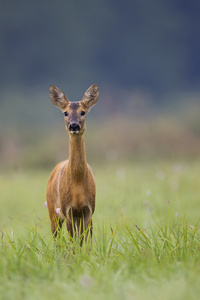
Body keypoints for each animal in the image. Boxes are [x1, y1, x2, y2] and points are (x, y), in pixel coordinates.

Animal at [46, 84, 99, 244]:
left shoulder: (89, 210)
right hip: (53, 210)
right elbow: (73, 243)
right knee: (56, 238)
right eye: (65, 113)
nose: (74, 125)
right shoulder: (67, 210)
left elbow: (86, 242)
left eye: (83, 112)